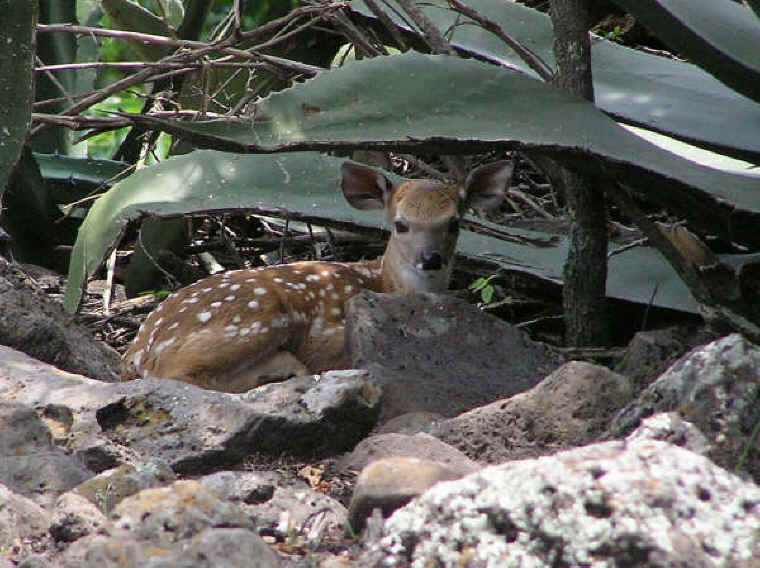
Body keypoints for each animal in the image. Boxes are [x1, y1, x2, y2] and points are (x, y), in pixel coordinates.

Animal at [121, 160, 513, 392]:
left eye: (454, 223)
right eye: (401, 224)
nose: (430, 259)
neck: (385, 281)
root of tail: (137, 352)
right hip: (256, 318)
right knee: (179, 375)